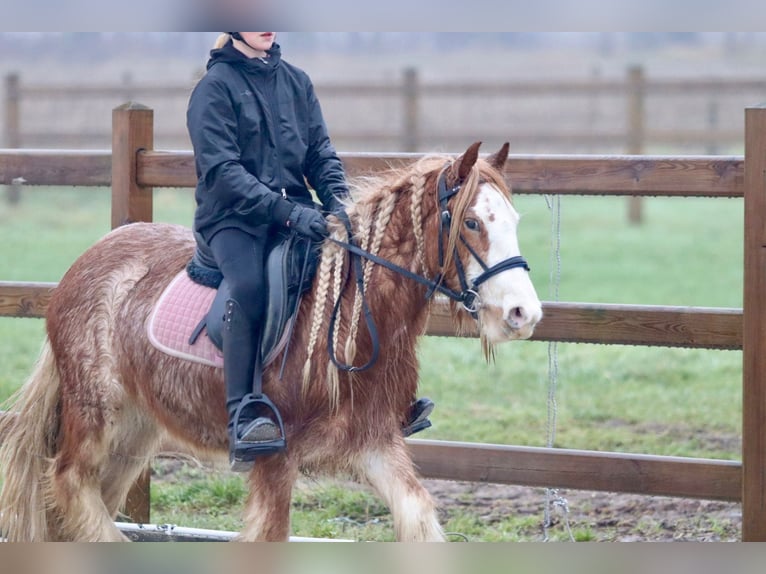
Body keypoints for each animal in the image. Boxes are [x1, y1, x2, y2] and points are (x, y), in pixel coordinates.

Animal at [0, 142, 544, 544]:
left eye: (515, 222)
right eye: (472, 222)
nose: (524, 315)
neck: (347, 317)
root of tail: (85, 262)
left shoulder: (376, 442)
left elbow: (419, 518)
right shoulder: (275, 459)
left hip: (135, 430)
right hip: (97, 412)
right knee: (69, 481)